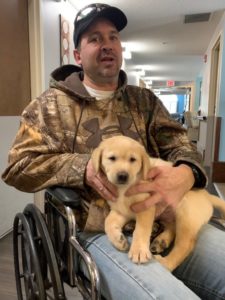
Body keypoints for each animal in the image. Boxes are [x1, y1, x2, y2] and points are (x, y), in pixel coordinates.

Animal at [91, 135, 225, 270]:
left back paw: (166, 262)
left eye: (133, 159)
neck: (123, 190)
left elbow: (141, 229)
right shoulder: (121, 211)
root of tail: (207, 195)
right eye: (112, 158)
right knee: (172, 227)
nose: (123, 176)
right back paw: (161, 241)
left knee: (186, 244)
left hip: (186, 214)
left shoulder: (146, 206)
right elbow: (108, 222)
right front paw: (118, 240)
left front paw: (139, 250)